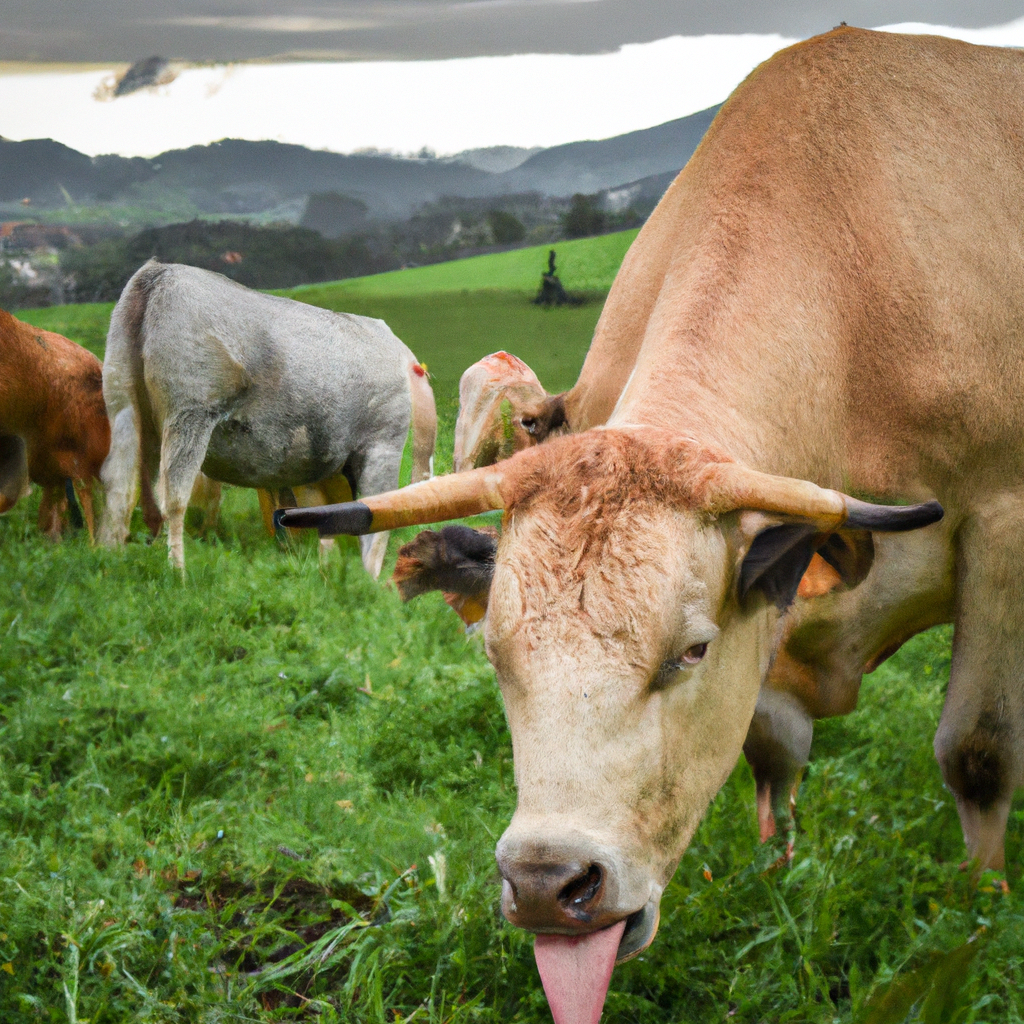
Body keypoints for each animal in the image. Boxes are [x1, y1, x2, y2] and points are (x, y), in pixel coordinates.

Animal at [101, 258, 438, 577]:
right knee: (171, 497)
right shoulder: (380, 446)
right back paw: (177, 573)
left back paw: (113, 564)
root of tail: (158, 273)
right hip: (187, 415)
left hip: (127, 410)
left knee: (120, 489)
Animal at [278, 28, 1024, 1024]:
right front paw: (774, 874)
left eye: (689, 651)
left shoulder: (1001, 525)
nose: (548, 883)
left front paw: (981, 915)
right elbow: (771, 745)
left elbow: (979, 749)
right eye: (496, 656)